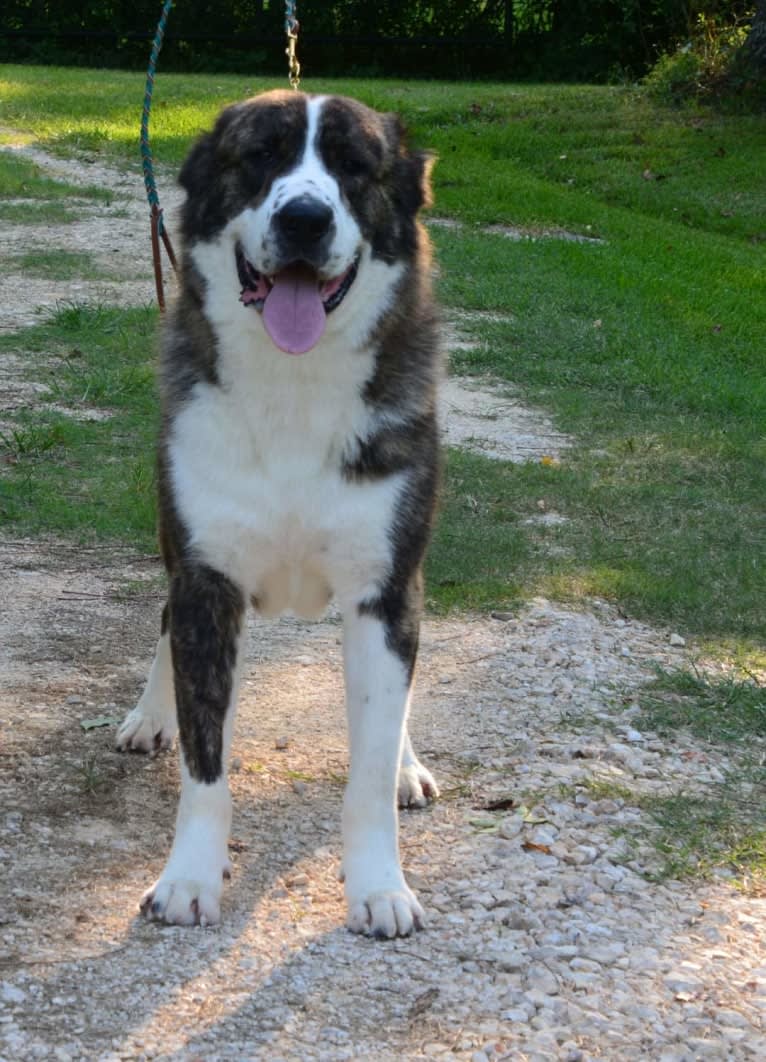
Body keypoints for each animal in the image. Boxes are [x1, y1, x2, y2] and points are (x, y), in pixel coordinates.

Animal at [116, 91, 441, 938]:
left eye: (355, 166)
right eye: (259, 156)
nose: (304, 219)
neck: (295, 386)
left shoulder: (384, 588)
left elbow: (369, 766)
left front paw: (379, 885)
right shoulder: (206, 579)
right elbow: (205, 763)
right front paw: (189, 879)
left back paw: (408, 762)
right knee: (163, 624)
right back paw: (150, 714)